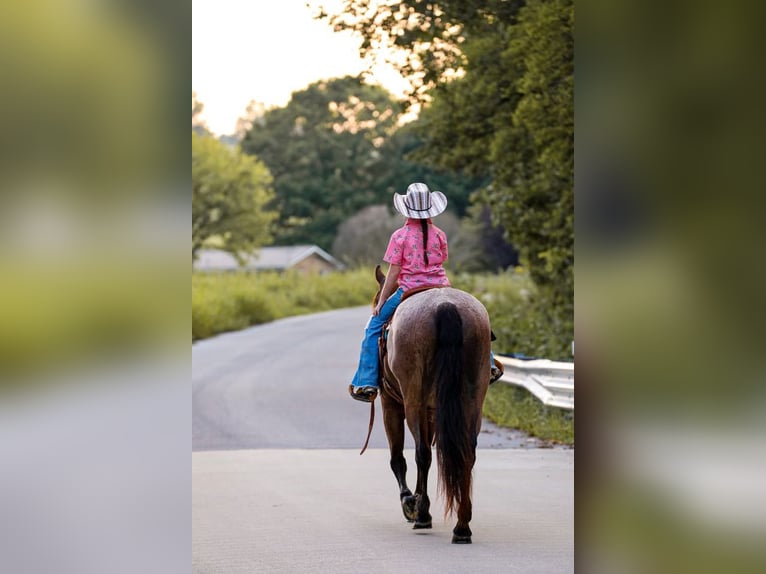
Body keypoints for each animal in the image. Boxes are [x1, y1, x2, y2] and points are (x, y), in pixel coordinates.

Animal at [372, 265, 492, 544]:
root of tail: (446, 307)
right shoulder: (432, 412)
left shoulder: (390, 404)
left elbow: (398, 458)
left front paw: (410, 503)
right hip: (472, 401)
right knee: (466, 453)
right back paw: (462, 525)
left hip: (413, 401)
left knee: (422, 453)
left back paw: (423, 515)